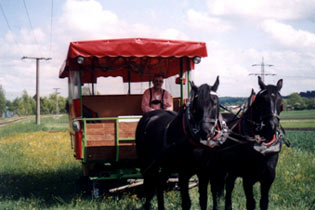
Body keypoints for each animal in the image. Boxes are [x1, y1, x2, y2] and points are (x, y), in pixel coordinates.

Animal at [137, 76, 221, 209]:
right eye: (196, 106)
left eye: (215, 103)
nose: (206, 131)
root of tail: (148, 116)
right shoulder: (183, 174)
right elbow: (186, 203)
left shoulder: (204, 172)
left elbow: (203, 200)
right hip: (147, 163)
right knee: (148, 187)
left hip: (166, 165)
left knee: (159, 184)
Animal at [200, 76, 286, 210]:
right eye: (261, 101)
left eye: (280, 102)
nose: (271, 126)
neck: (262, 147)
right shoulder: (247, 178)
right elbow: (250, 203)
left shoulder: (268, 178)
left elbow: (264, 202)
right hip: (213, 167)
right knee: (215, 188)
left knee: (227, 186)